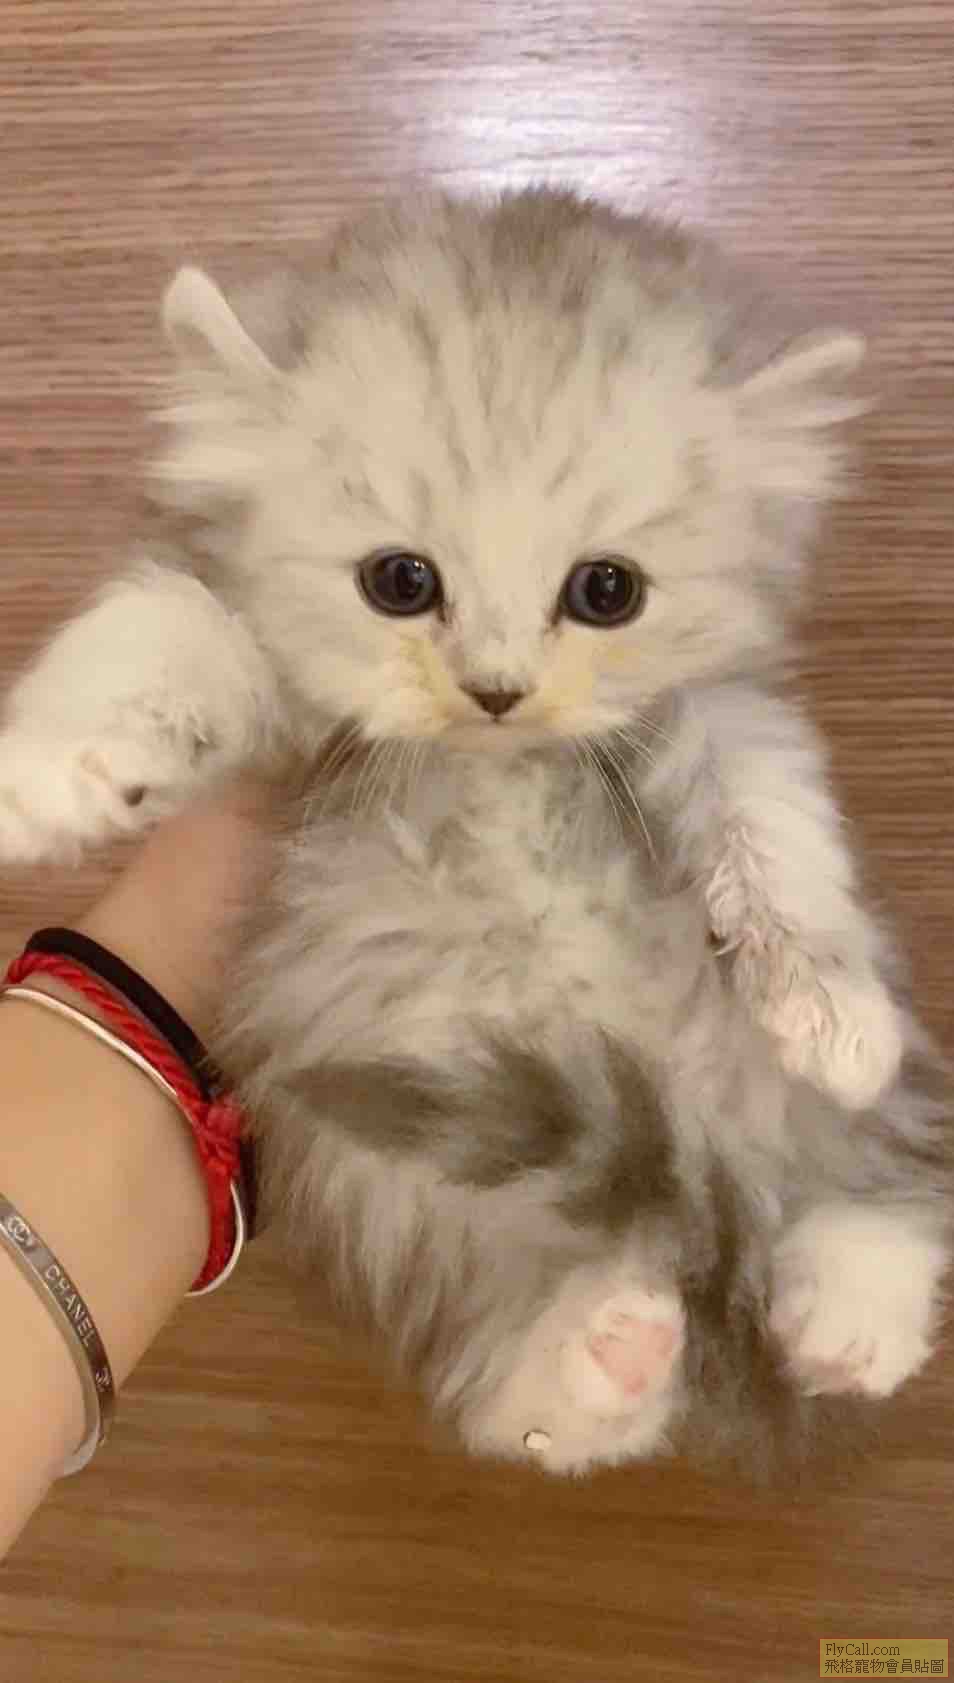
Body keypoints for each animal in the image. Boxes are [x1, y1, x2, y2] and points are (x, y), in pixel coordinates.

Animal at [1, 189, 951, 1474]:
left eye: (607, 591)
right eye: (401, 581)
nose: (497, 691)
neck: (499, 772)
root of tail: (694, 1193)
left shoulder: (720, 711)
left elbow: (775, 822)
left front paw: (831, 1007)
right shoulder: (272, 688)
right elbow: (163, 627)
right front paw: (50, 770)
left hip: (804, 1138)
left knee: (870, 1194)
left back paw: (850, 1309)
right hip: (406, 1202)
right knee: (529, 1387)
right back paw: (604, 1354)